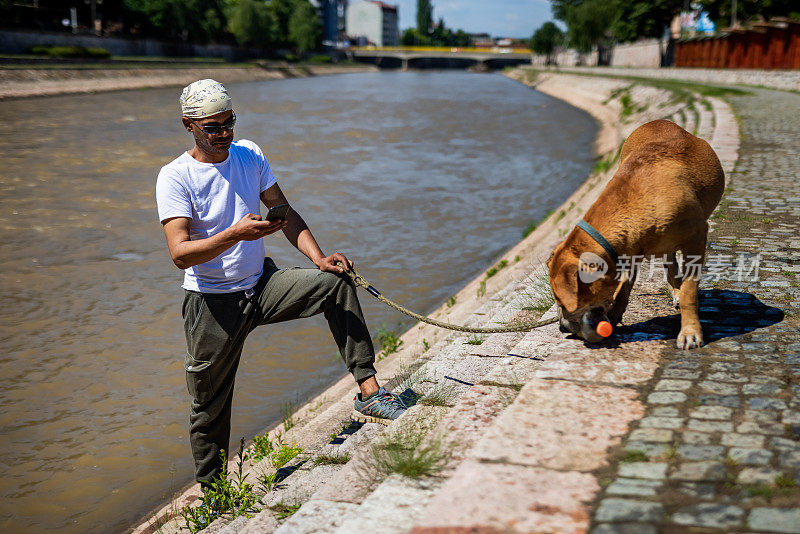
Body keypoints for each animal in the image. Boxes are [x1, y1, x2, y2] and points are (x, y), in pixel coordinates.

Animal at [552, 119, 724, 350]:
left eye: (562, 301)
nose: (561, 328)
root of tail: (659, 121)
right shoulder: (628, 250)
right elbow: (623, 289)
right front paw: (614, 317)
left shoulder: (696, 237)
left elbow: (690, 290)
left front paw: (690, 332)